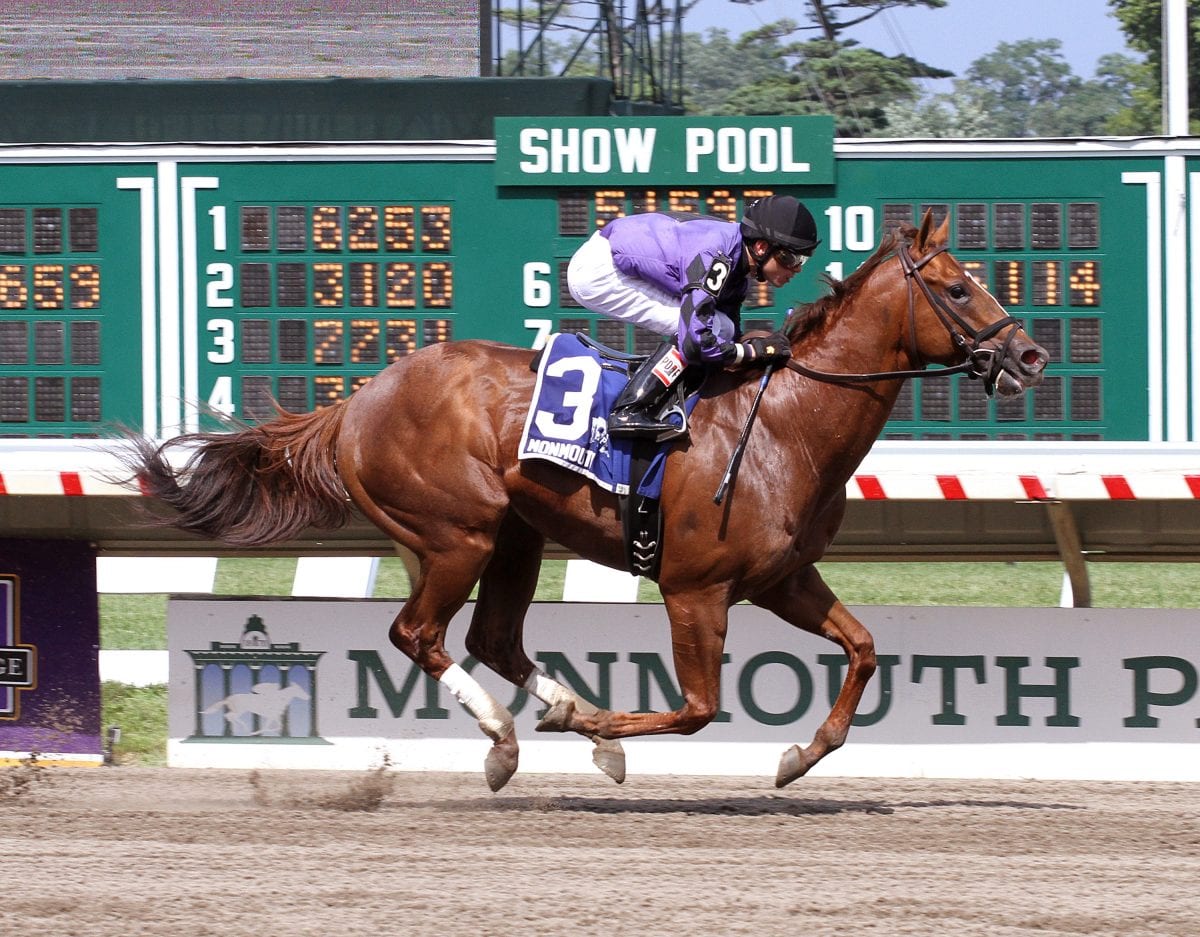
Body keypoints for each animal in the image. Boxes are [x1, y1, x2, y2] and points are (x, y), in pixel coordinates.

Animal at [126, 212, 1051, 791]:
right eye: (958, 289)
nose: (1032, 356)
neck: (784, 424)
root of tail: (356, 400)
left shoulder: (783, 578)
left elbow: (862, 649)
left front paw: (799, 754)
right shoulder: (695, 589)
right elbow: (696, 709)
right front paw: (606, 738)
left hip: (516, 537)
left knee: (491, 638)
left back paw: (556, 707)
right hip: (456, 533)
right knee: (419, 634)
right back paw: (507, 738)